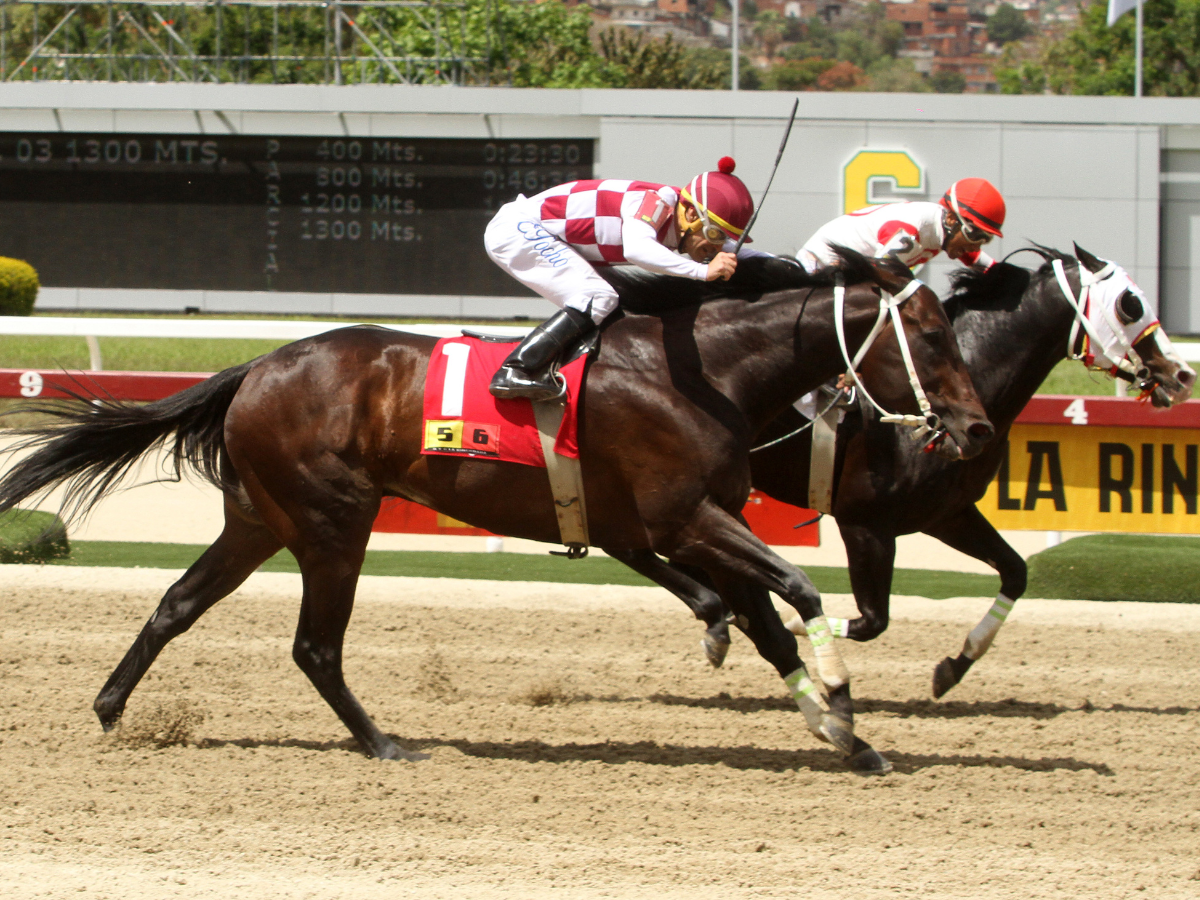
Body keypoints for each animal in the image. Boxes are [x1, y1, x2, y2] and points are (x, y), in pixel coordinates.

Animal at [0, 252, 993, 777]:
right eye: (929, 335)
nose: (979, 428)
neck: (703, 369)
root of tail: (257, 367)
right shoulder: (684, 519)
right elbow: (797, 590)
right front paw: (841, 699)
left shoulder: (692, 522)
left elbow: (766, 618)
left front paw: (844, 734)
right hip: (334, 520)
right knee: (315, 645)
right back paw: (385, 742)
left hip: (260, 519)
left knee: (176, 604)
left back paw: (111, 708)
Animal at [614, 247, 1195, 696]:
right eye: (1130, 304)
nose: (1183, 373)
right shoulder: (864, 523)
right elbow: (872, 620)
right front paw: (790, 626)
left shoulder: (947, 514)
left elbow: (1016, 571)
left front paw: (953, 668)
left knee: (640, 548)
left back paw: (715, 612)